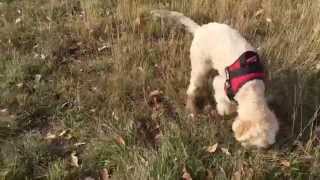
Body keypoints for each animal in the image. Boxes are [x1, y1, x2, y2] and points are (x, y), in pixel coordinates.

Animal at [151, 9, 278, 148]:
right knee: (193, 87)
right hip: (200, 65)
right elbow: (224, 104)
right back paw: (191, 109)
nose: (245, 148)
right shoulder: (221, 85)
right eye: (249, 144)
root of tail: (200, 29)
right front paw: (225, 110)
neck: (251, 87)